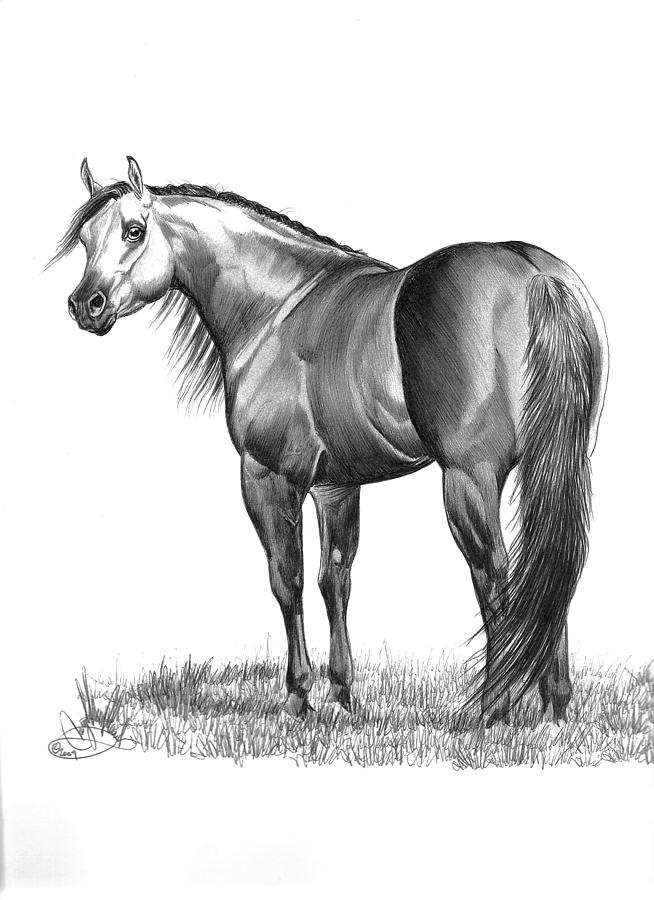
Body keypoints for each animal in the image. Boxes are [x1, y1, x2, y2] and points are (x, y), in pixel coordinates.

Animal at [52, 156, 608, 726]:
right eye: (86, 238)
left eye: (133, 230)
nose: (84, 305)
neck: (277, 308)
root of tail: (537, 275)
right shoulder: (335, 487)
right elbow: (334, 579)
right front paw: (342, 692)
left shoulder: (267, 477)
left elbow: (288, 579)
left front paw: (298, 695)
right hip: (553, 465)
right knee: (551, 563)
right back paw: (554, 705)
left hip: (469, 480)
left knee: (494, 571)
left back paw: (492, 706)